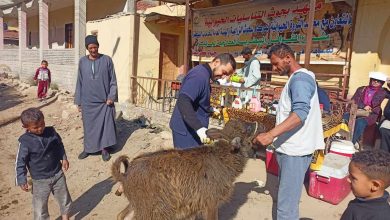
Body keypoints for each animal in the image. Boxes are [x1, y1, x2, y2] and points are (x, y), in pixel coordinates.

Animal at [111, 119, 266, 219]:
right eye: (245, 130)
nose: (259, 124)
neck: (222, 159)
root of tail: (125, 175)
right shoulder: (210, 202)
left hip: (139, 204)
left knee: (120, 215)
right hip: (150, 209)